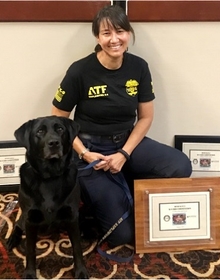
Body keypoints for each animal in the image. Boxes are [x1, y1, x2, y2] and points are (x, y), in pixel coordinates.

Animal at [6, 115, 88, 278]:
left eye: (60, 129)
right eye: (40, 131)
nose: (54, 143)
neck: (50, 177)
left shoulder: (71, 216)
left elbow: (76, 247)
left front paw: (80, 271)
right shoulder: (30, 219)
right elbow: (30, 250)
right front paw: (30, 273)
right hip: (24, 218)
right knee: (18, 224)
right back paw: (12, 239)